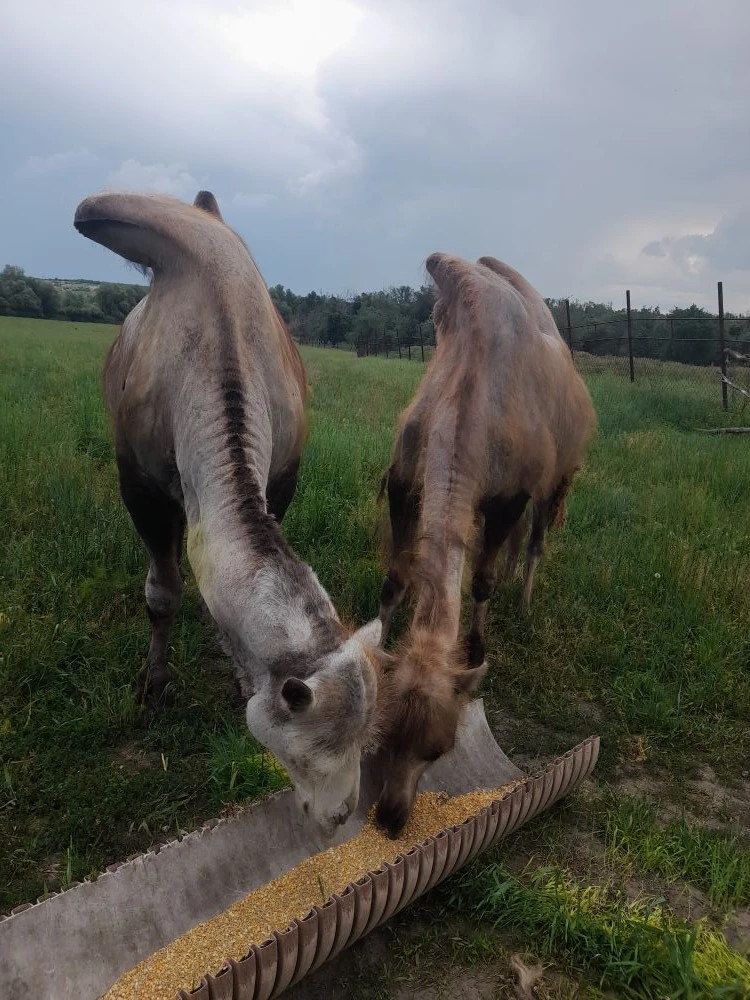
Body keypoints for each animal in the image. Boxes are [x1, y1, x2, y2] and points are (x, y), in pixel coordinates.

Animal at [74, 190, 381, 837]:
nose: (342, 813)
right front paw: (154, 686)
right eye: (309, 752)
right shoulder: (139, 482)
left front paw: (238, 672)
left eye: (365, 736)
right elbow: (163, 591)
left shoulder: (283, 474)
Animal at [374, 253, 596, 836]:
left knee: (534, 540)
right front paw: (376, 639)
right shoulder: (406, 480)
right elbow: (395, 578)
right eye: (379, 738)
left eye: (439, 749)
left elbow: (481, 579)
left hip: (558, 475)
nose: (389, 818)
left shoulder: (509, 496)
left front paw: (476, 649)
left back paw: (524, 603)